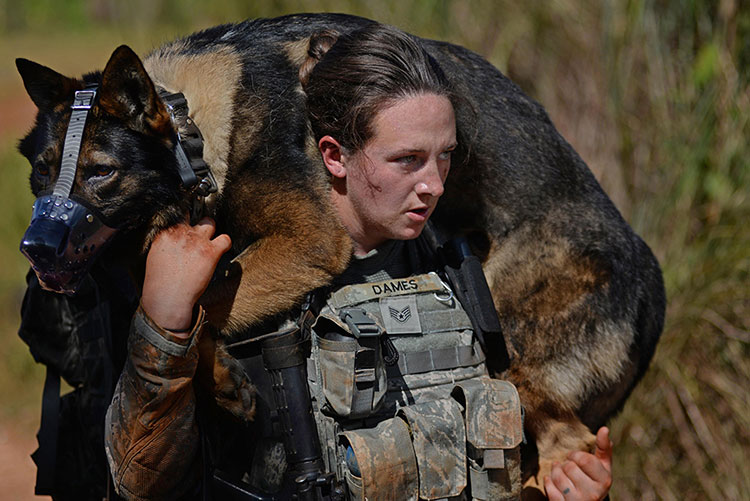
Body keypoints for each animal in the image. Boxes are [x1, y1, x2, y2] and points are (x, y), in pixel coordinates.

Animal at [14, 11, 668, 496]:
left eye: (101, 173)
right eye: (40, 174)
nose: (36, 250)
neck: (192, 131)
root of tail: (653, 289)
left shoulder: (305, 242)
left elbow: (217, 298)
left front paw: (222, 373)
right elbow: (175, 310)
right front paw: (217, 376)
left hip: (514, 363)